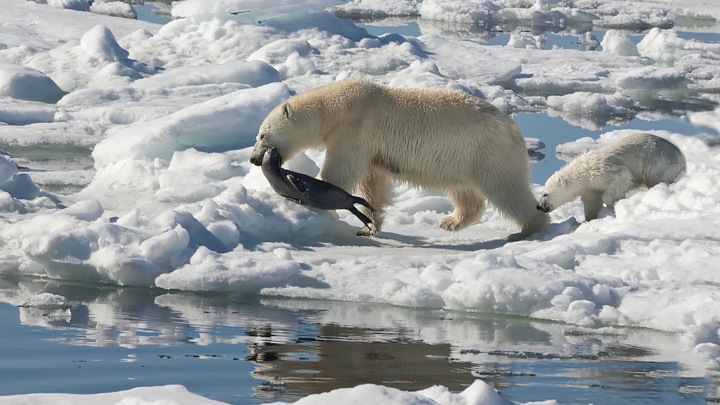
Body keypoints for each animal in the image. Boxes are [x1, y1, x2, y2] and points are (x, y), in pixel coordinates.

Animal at [250, 78, 548, 240]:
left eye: (262, 134)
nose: (254, 158)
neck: (335, 106)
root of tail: (515, 130)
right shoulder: (371, 147)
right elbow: (374, 183)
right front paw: (369, 226)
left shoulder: (355, 127)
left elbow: (342, 169)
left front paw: (311, 191)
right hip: (462, 159)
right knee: (463, 192)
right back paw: (451, 221)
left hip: (488, 152)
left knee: (507, 189)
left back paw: (526, 229)